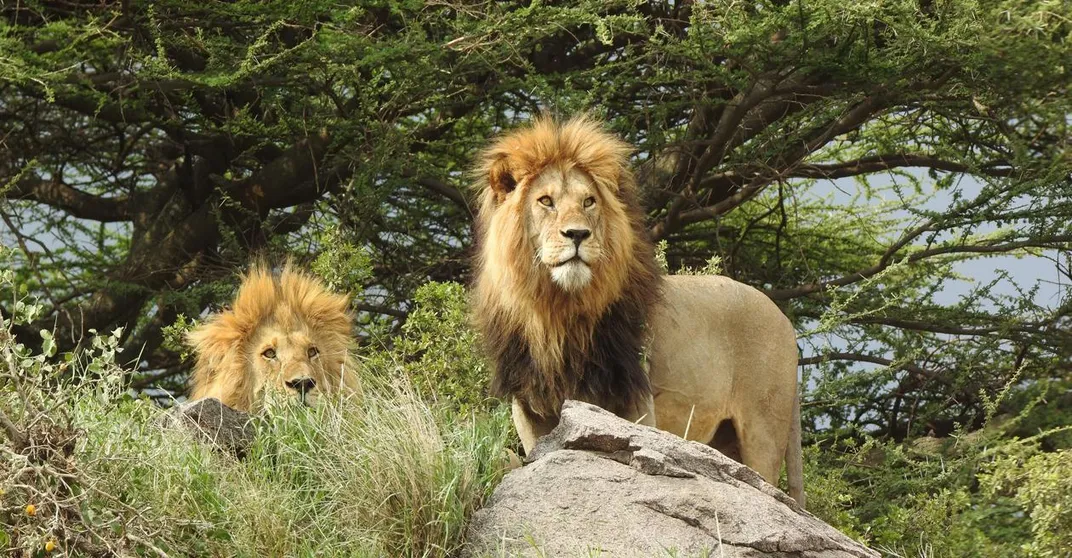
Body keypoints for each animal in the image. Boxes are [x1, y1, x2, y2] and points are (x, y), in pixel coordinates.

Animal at [471, 116, 804, 506]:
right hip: (726, 438)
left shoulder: (635, 399)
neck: (556, 311)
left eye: (589, 201)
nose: (577, 234)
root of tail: (785, 319)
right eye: (545, 201)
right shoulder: (528, 406)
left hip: (763, 428)